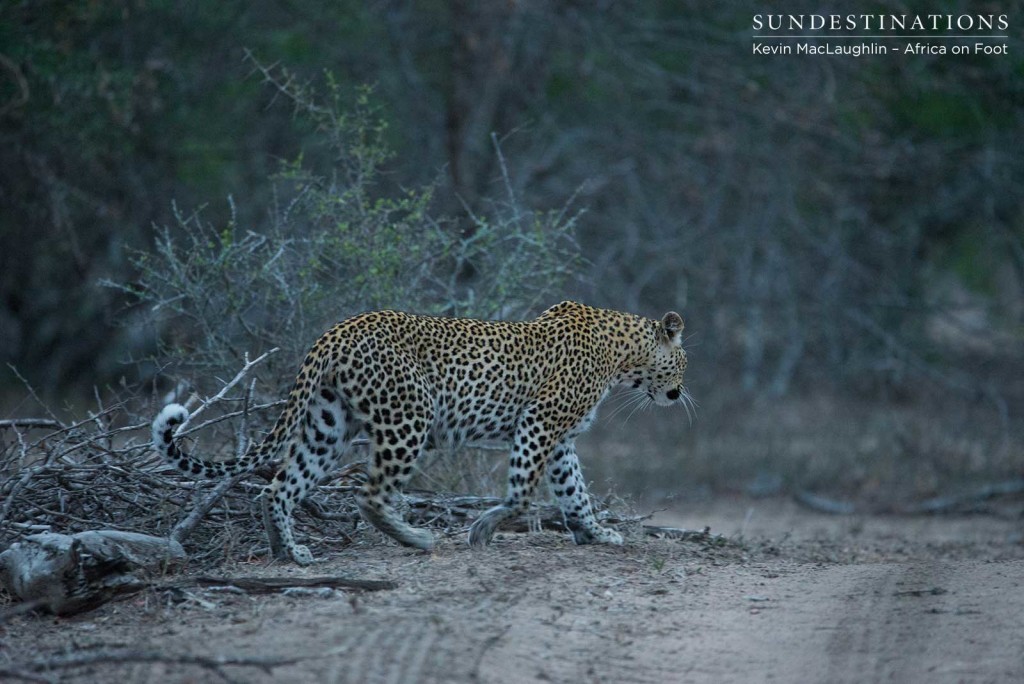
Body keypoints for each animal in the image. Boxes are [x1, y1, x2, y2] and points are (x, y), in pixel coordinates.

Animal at [152, 301, 691, 565]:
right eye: (685, 360)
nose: (680, 392)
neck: (624, 354)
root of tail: (335, 331)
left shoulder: (559, 439)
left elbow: (575, 491)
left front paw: (596, 533)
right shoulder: (539, 421)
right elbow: (521, 493)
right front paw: (482, 529)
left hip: (328, 426)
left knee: (277, 487)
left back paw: (289, 553)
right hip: (410, 415)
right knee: (369, 495)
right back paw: (416, 539)